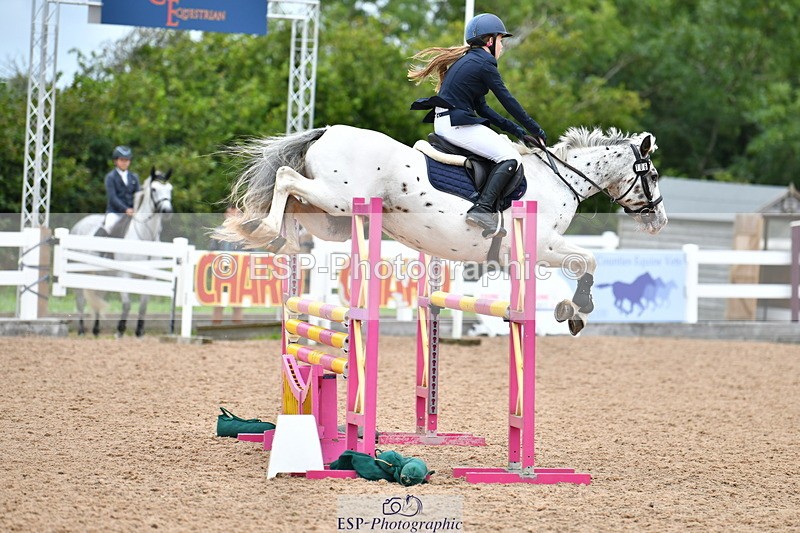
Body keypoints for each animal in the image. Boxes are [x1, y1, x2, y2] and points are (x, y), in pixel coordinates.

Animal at [69, 168, 174, 337]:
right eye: (154, 189)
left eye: (170, 188)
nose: (167, 211)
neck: (145, 237)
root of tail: (79, 225)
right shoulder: (125, 274)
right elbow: (127, 303)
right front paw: (120, 330)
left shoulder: (149, 277)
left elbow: (143, 304)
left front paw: (139, 331)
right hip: (79, 271)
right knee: (80, 299)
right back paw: (81, 331)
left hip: (102, 274)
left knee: (98, 296)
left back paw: (96, 330)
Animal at [217, 124, 668, 335]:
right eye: (652, 175)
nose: (659, 220)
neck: (560, 179)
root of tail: (327, 131)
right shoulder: (537, 248)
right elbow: (587, 259)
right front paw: (576, 310)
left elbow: (585, 261)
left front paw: (571, 310)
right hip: (338, 199)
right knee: (286, 178)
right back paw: (264, 229)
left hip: (333, 218)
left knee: (293, 195)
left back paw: (277, 238)